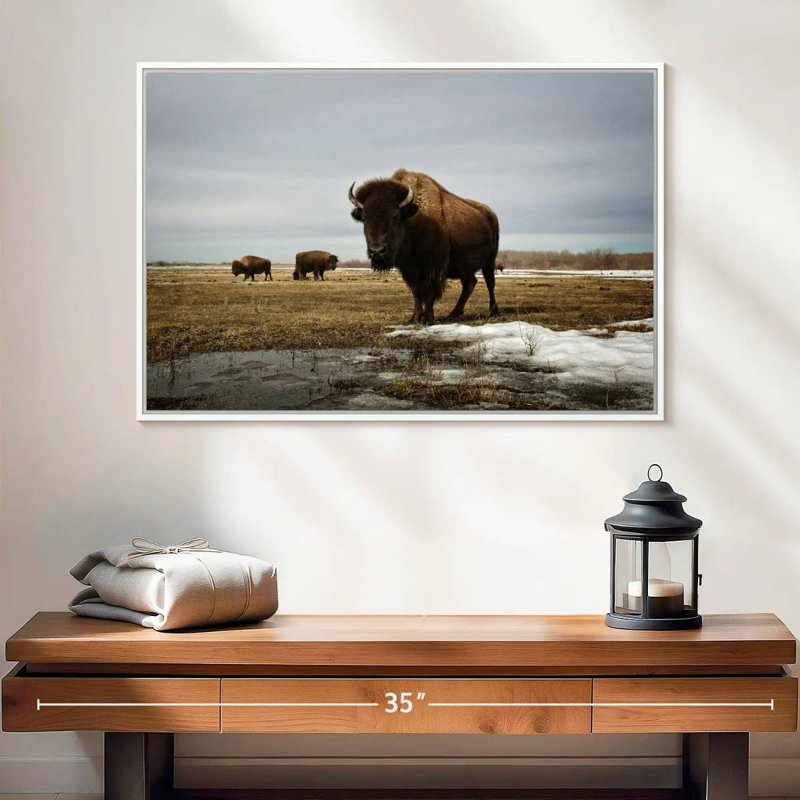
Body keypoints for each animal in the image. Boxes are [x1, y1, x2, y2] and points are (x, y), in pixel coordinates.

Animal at [348, 169, 499, 324]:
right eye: (364, 217)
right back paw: (453, 314)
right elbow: (416, 292)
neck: (413, 221)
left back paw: (493, 312)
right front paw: (414, 318)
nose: (377, 251)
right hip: (465, 268)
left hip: (490, 260)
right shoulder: (409, 269)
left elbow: (429, 292)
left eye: (395, 216)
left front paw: (427, 319)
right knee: (470, 283)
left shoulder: (433, 267)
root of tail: (491, 214)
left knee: (490, 283)